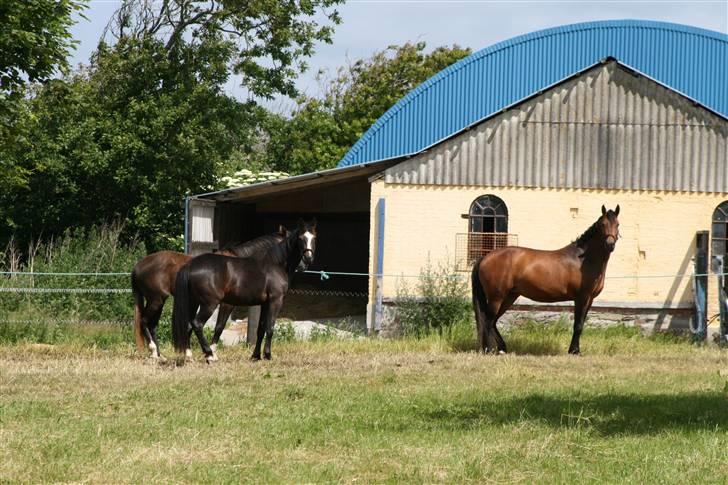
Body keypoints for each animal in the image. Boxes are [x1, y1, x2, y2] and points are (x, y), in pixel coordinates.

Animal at [132, 229, 286, 358]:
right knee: (145, 322)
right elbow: (219, 327)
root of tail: (138, 266)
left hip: (159, 301)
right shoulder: (226, 304)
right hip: (156, 300)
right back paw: (154, 352)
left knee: (152, 325)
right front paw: (211, 352)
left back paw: (160, 355)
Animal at [172, 218, 318, 360]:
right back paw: (210, 354)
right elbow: (270, 328)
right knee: (197, 324)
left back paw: (189, 354)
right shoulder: (275, 301)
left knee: (188, 324)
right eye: (301, 238)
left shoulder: (265, 304)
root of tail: (191, 265)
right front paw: (268, 355)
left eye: (314, 238)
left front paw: (256, 356)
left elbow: (260, 329)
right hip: (209, 304)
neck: (275, 264)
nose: (307, 260)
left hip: (194, 302)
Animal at [472, 202, 620, 354]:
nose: (610, 244)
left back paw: (502, 348)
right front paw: (574, 351)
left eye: (617, 224)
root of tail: (485, 257)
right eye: (602, 224)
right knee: (488, 321)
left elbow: (581, 324)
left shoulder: (589, 299)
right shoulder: (582, 297)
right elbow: (578, 325)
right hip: (497, 297)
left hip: (509, 296)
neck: (583, 260)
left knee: (493, 321)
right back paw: (489, 349)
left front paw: (574, 350)